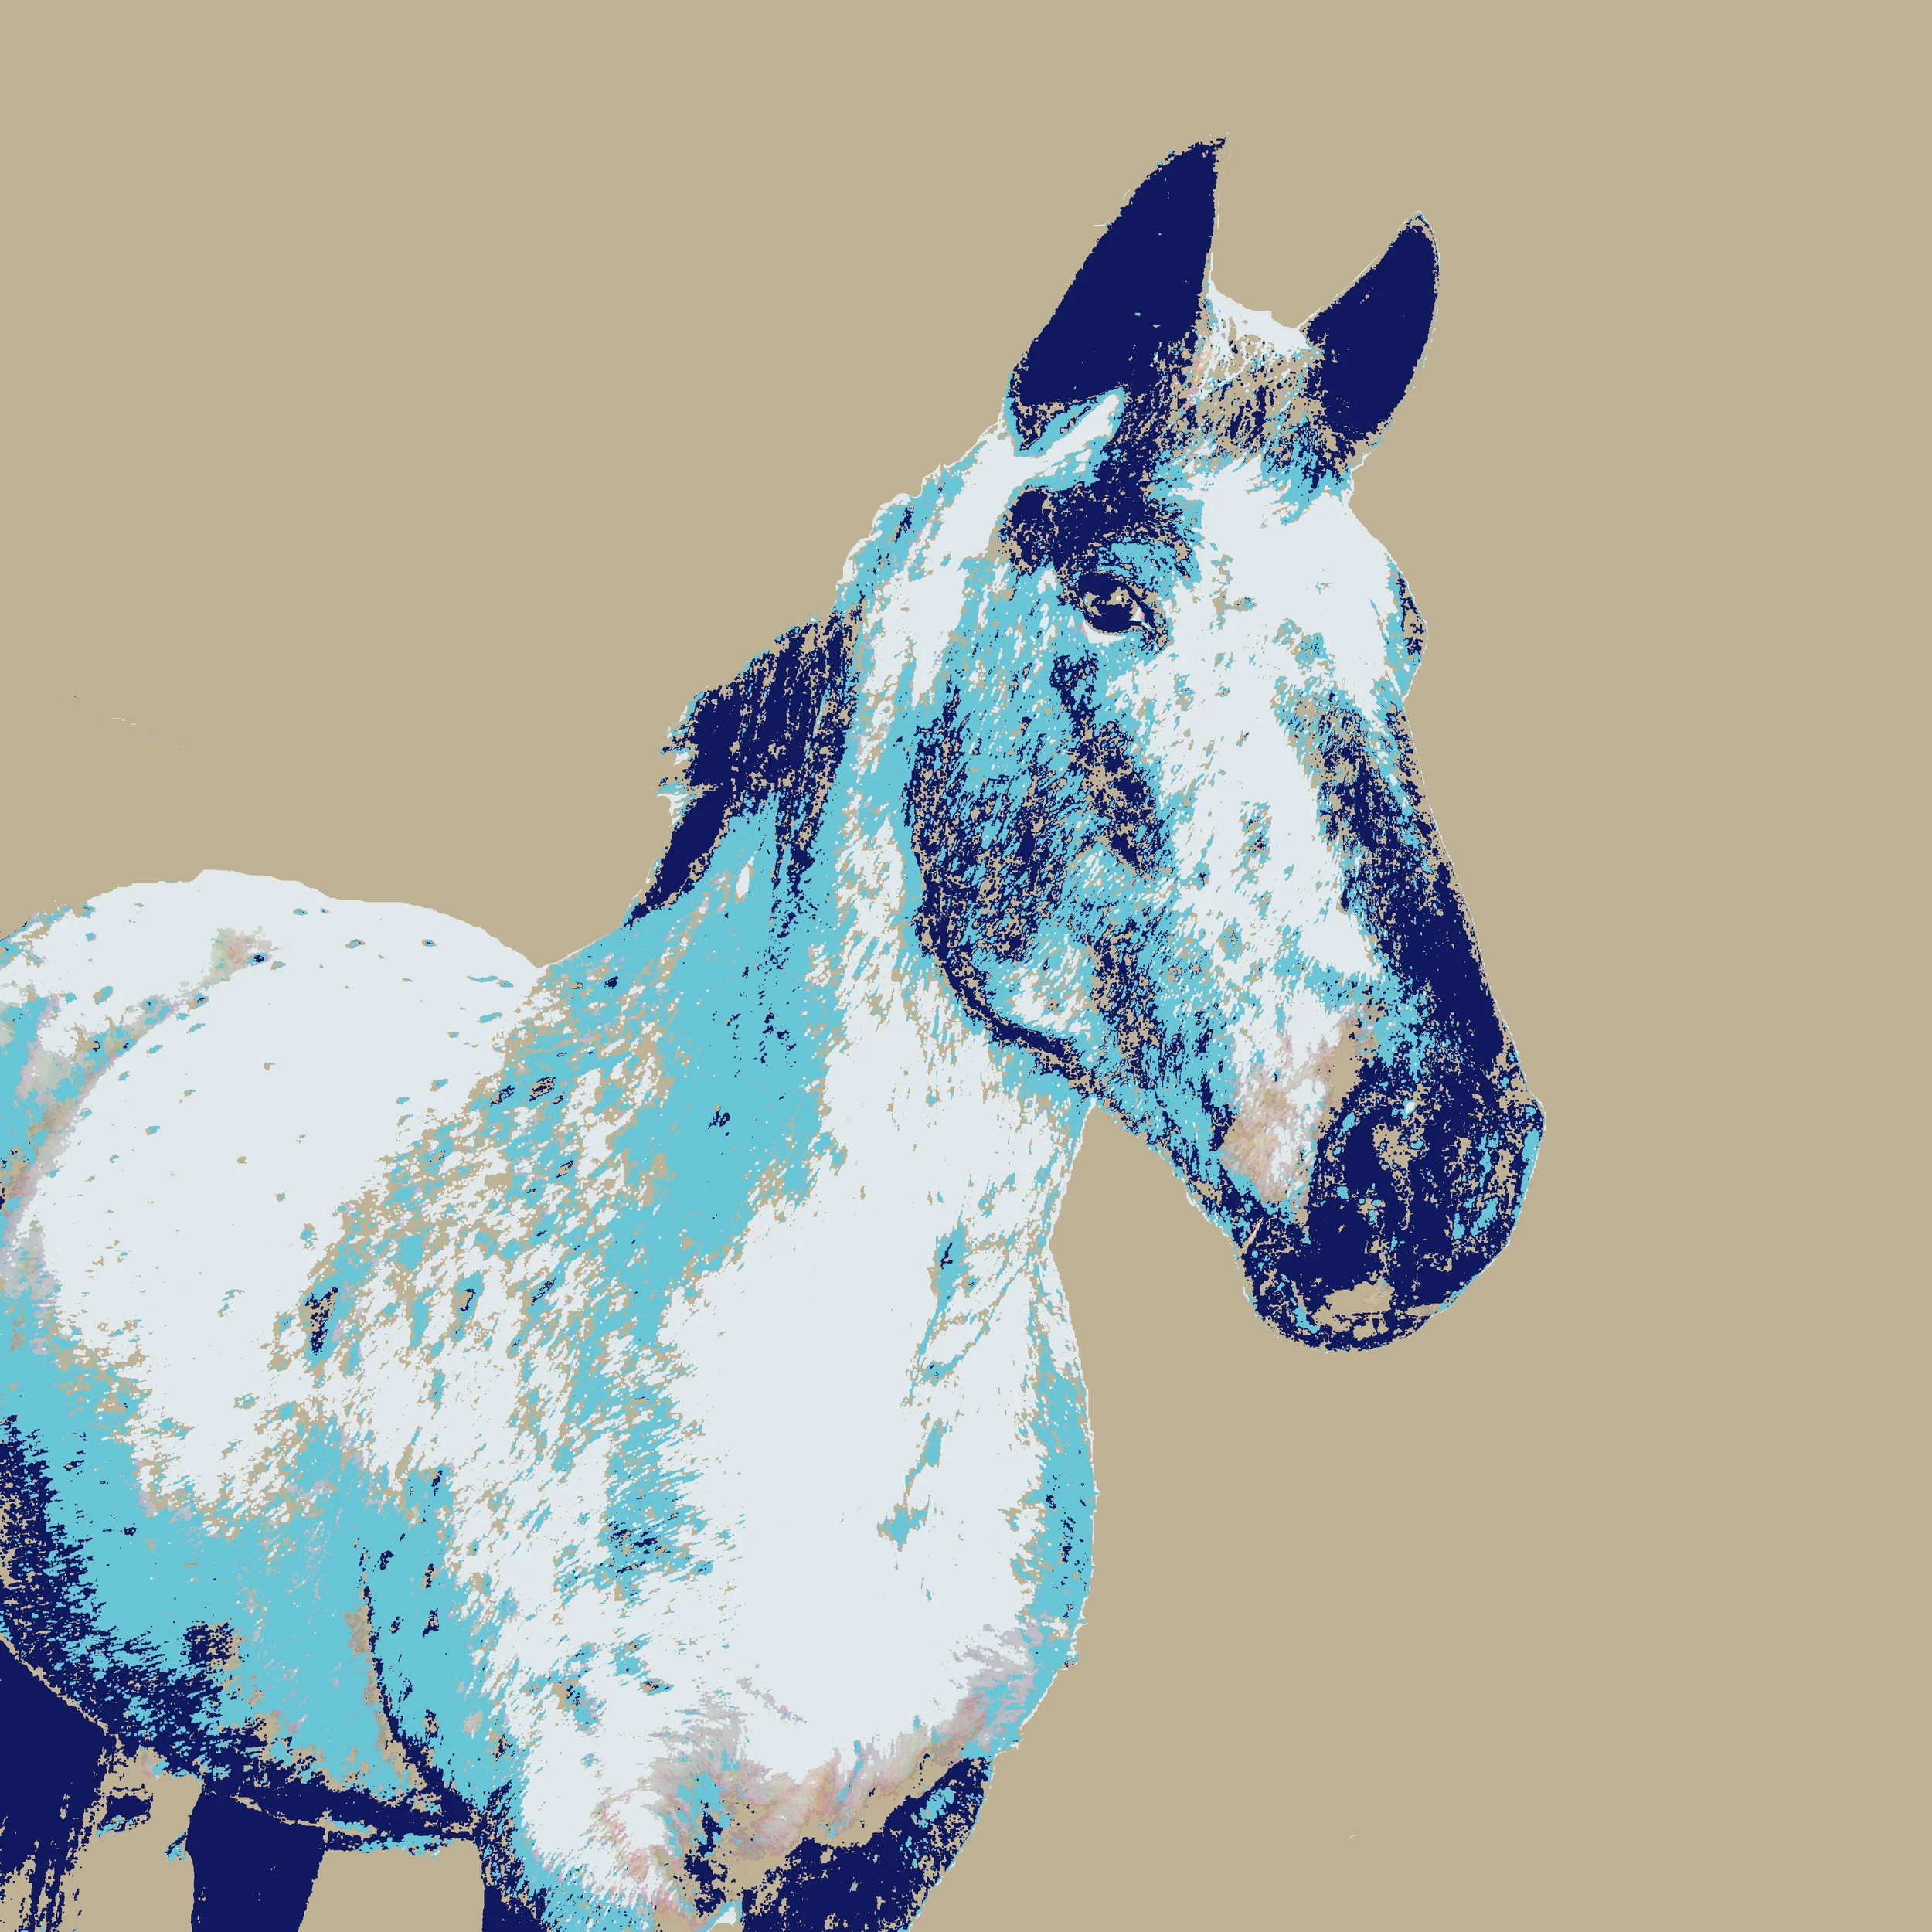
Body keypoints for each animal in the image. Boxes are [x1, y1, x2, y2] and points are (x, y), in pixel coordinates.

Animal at [0, 141, 1541, 1931]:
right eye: (1109, 596)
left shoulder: (900, 1842)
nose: (1441, 1162)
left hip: (268, 1778)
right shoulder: (577, 1862)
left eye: (1400, 631)